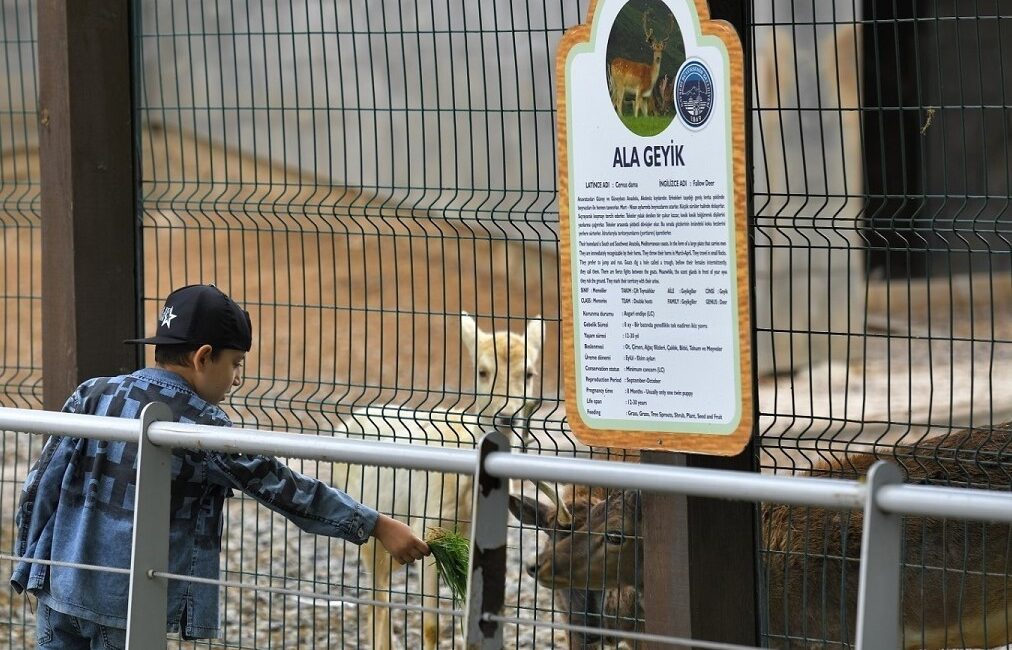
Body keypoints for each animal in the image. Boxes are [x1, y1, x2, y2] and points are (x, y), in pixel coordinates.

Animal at [331, 311, 542, 643]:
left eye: (529, 373)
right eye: (482, 371)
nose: (507, 416)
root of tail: (346, 422)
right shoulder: (426, 527)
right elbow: (430, 624)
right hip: (368, 533)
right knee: (377, 598)